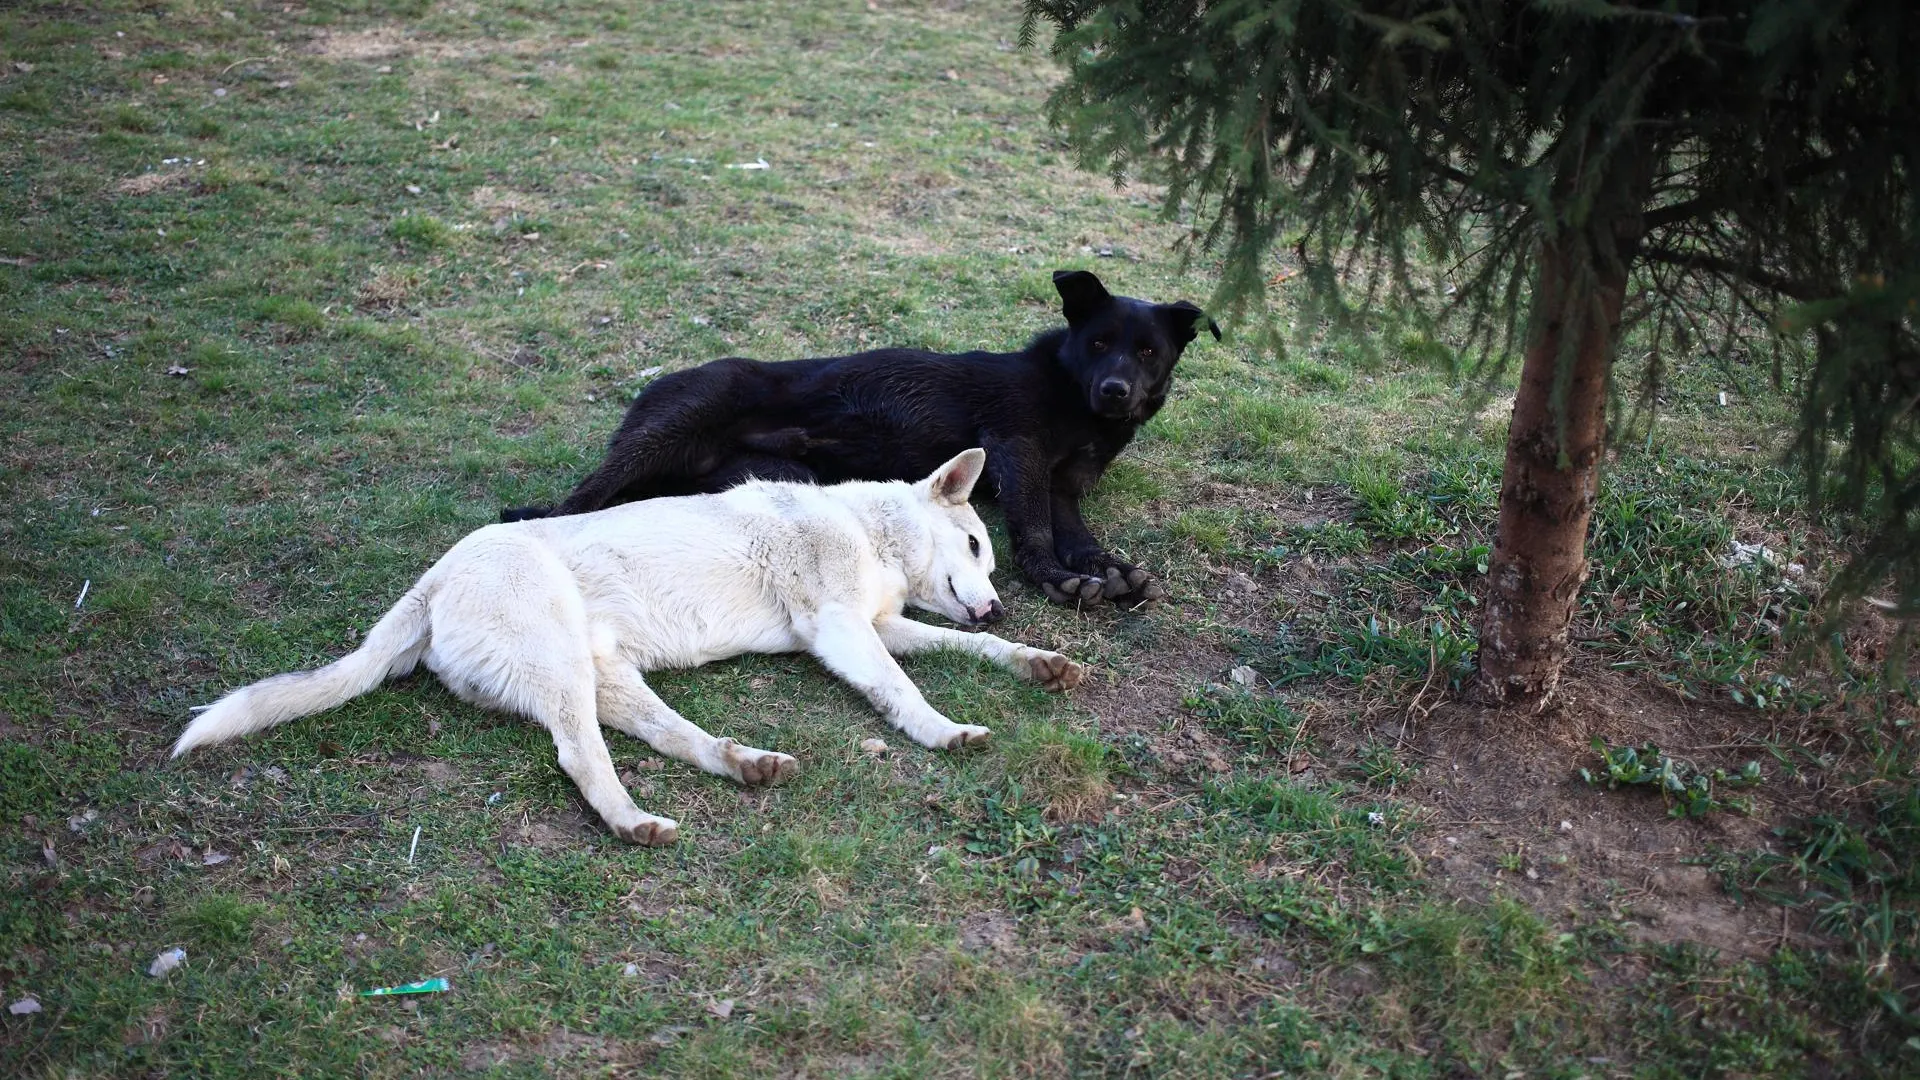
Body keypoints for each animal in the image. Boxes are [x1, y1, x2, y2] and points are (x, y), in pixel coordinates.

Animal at [176, 445, 1082, 841]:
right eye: (977, 544)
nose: (999, 606)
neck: (867, 528)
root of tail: (432, 581)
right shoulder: (842, 632)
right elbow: (904, 690)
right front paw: (943, 732)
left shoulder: (881, 626)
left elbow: (964, 654)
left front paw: (1032, 660)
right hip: (564, 666)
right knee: (581, 756)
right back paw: (634, 820)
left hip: (604, 675)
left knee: (666, 738)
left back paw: (744, 763)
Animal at [503, 269, 1221, 607]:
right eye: (1099, 343)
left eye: (1148, 352)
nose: (1117, 391)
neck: (1074, 399)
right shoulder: (1016, 449)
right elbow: (1037, 530)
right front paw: (1055, 577)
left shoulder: (1065, 485)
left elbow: (1077, 532)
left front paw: (1106, 568)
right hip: (675, 423)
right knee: (577, 500)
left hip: (777, 481)